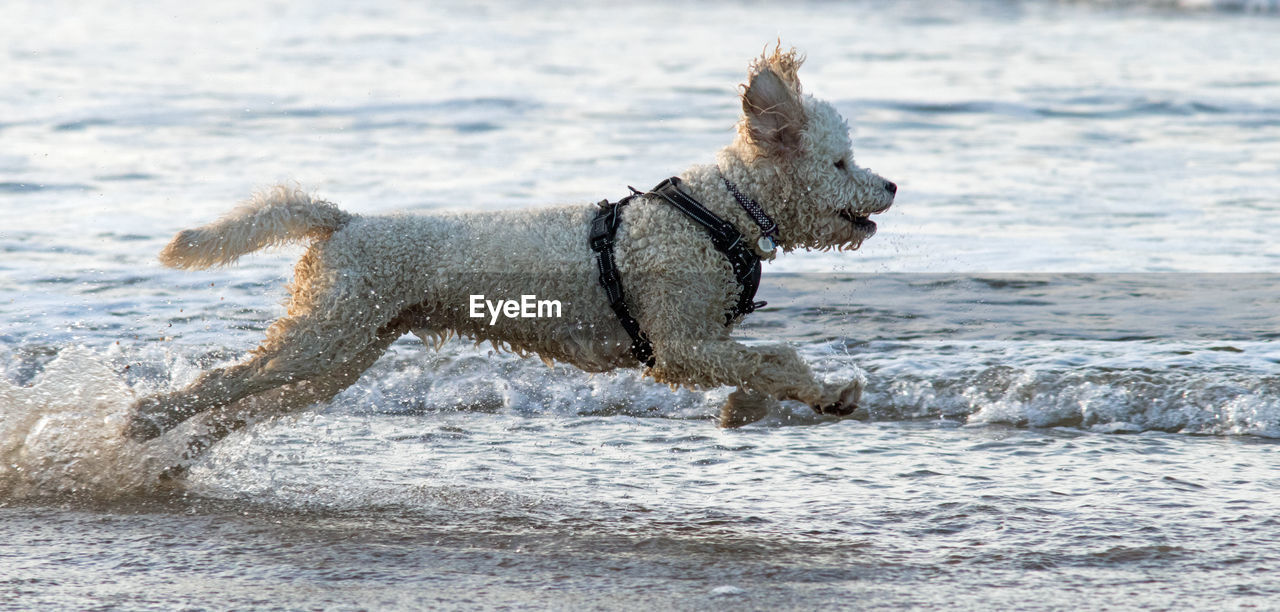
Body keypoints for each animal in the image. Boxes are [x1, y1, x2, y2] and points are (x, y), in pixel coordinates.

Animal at [124, 46, 896, 450]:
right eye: (840, 163)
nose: (889, 185)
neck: (718, 212)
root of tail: (342, 222)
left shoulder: (702, 340)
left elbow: (762, 365)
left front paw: (763, 406)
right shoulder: (680, 342)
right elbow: (777, 358)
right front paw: (820, 393)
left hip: (344, 349)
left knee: (245, 402)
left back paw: (175, 456)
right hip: (322, 338)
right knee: (227, 381)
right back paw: (141, 421)